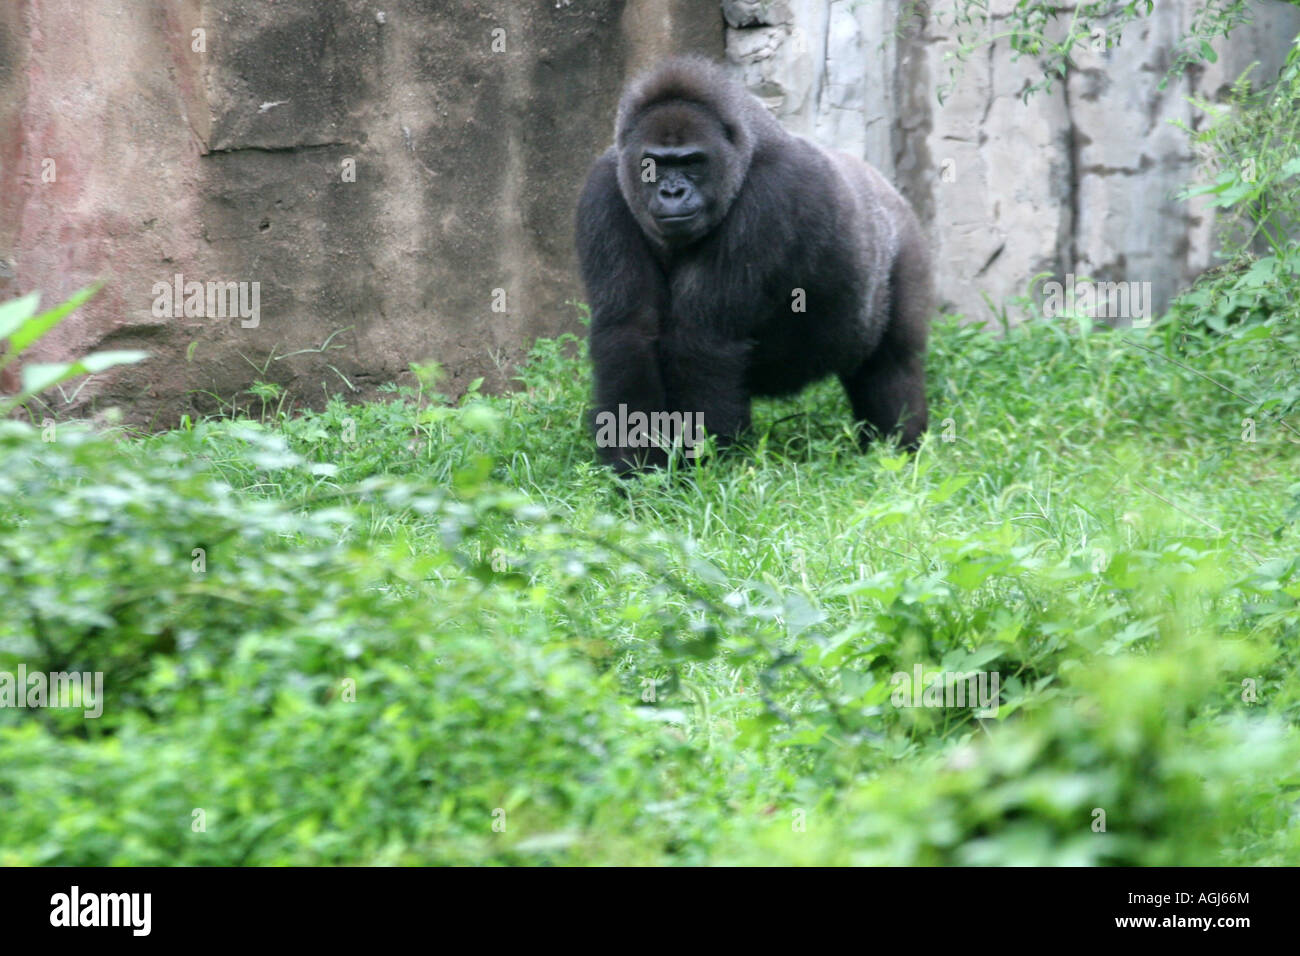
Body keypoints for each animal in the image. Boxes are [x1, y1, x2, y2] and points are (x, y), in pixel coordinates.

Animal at [574, 56, 930, 476]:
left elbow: (702, 338)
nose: (672, 192)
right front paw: (637, 467)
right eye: (653, 164)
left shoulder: (769, 193)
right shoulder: (606, 188)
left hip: (905, 245)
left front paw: (700, 470)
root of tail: (888, 188)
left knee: (892, 364)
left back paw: (898, 451)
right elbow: (630, 333)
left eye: (692, 162)